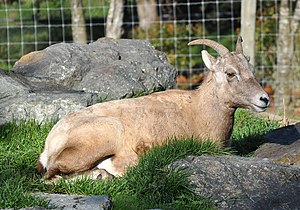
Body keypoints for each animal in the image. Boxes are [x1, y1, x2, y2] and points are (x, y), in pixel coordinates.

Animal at [37, 37, 270, 180]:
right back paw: (102, 176)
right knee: (52, 176)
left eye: (250, 69)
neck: (198, 111)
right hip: (104, 135)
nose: (264, 99)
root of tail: (50, 144)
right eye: (230, 73)